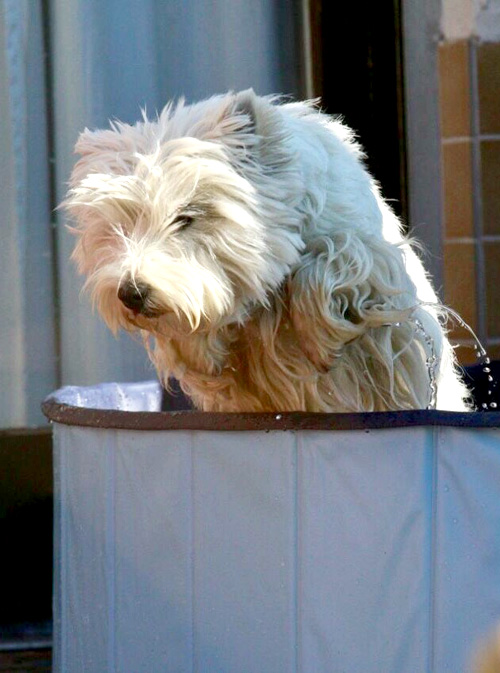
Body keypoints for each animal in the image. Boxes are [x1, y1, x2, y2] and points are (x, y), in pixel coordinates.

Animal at [64, 90, 470, 410]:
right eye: (117, 226)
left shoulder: (375, 259)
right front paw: (202, 349)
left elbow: (336, 259)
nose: (131, 294)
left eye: (186, 217)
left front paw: (322, 338)